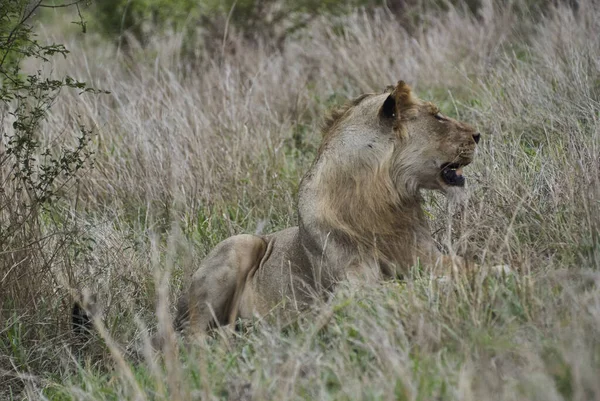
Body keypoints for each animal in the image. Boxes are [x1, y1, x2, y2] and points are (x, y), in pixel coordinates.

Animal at [176, 79, 486, 336]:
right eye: (437, 116)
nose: (478, 134)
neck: (383, 201)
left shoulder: (428, 257)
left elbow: (471, 267)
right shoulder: (351, 289)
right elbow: (398, 287)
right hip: (241, 244)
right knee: (194, 336)